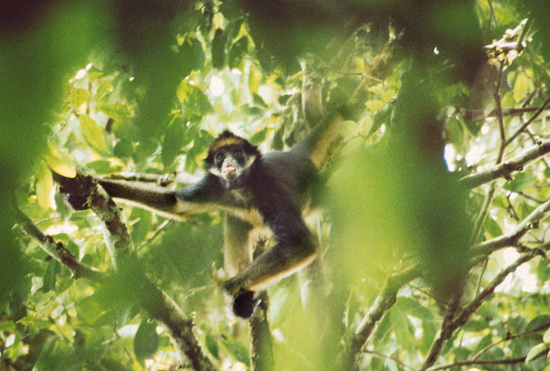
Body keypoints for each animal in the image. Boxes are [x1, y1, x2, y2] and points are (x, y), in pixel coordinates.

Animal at [58, 114, 342, 320]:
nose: (228, 162)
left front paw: (228, 289)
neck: (241, 188)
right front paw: (87, 188)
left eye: (239, 155)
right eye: (220, 156)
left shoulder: (269, 190)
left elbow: (301, 244)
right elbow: (176, 204)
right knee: (234, 221)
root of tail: (293, 154)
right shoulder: (215, 186)